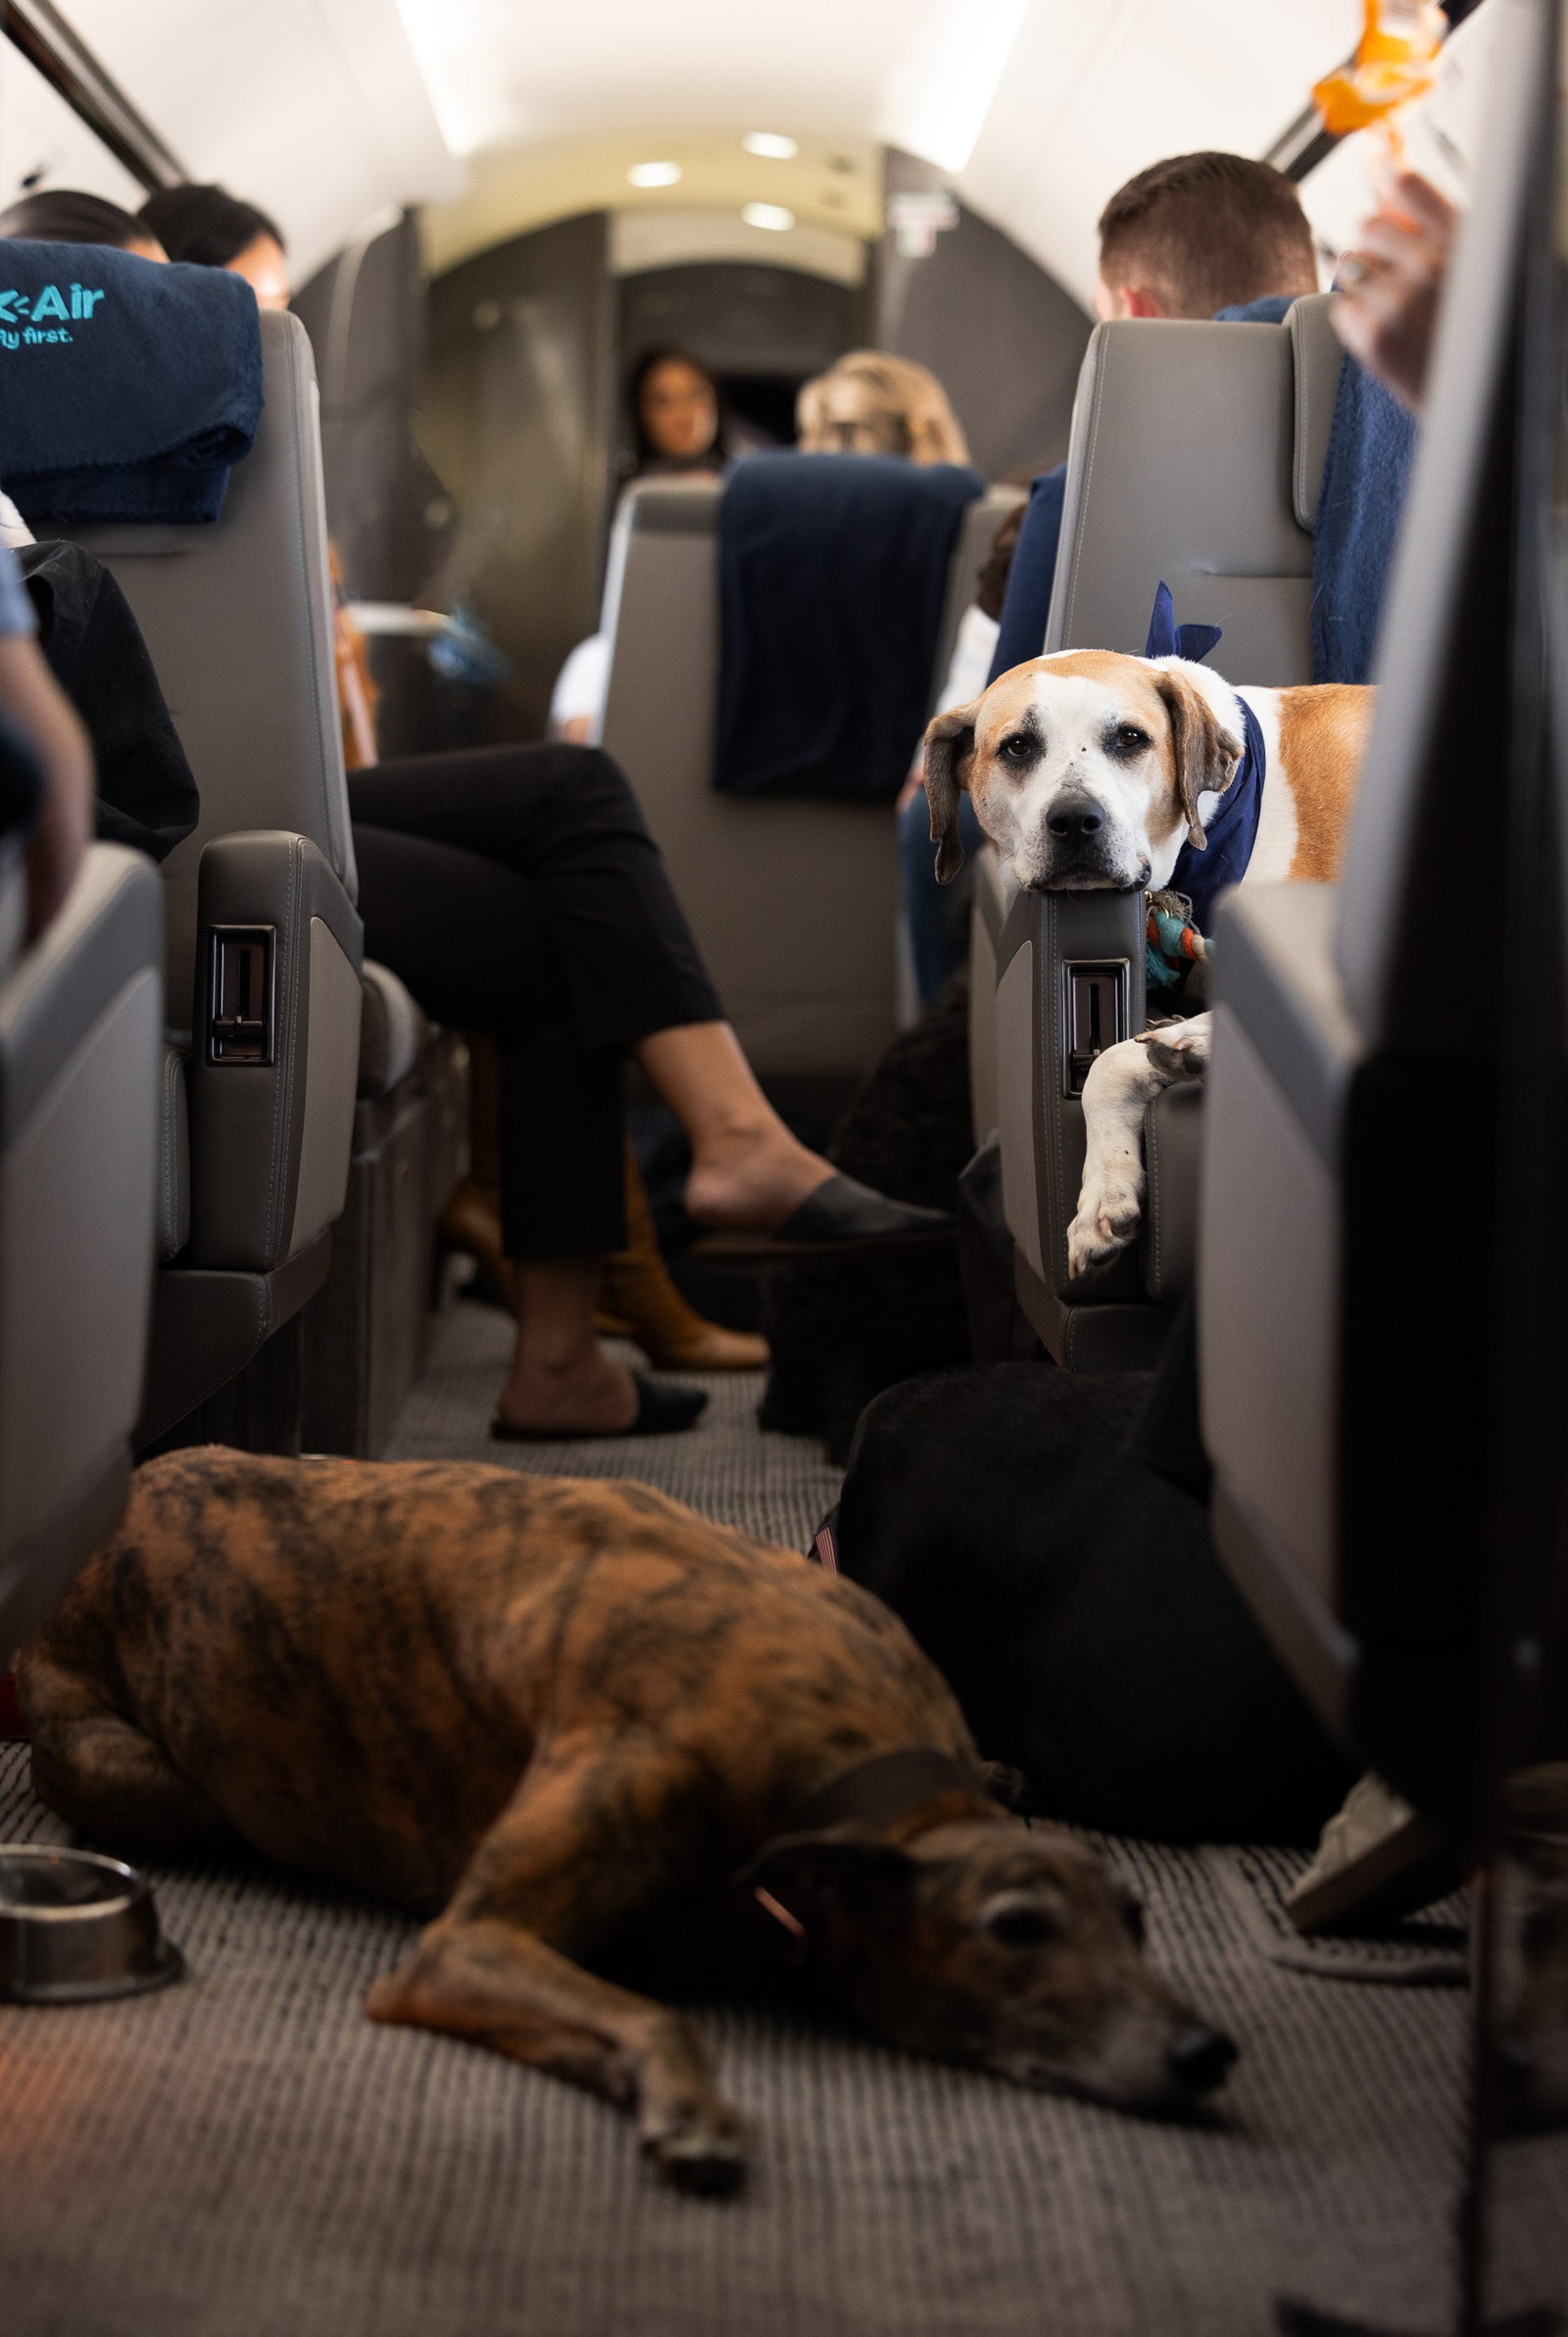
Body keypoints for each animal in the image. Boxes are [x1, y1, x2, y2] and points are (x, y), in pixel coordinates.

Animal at [12, 1449, 1243, 2196]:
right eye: (1015, 1927)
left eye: (1137, 1917)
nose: (1208, 2050)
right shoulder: (467, 1940)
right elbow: (657, 2011)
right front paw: (689, 2106)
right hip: (150, 1777)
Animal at [934, 654, 1374, 1280]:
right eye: (1018, 746)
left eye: (1130, 738)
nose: (1076, 820)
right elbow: (1107, 1068)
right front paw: (1107, 1192)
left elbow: (1112, 1060)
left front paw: (1189, 1044)